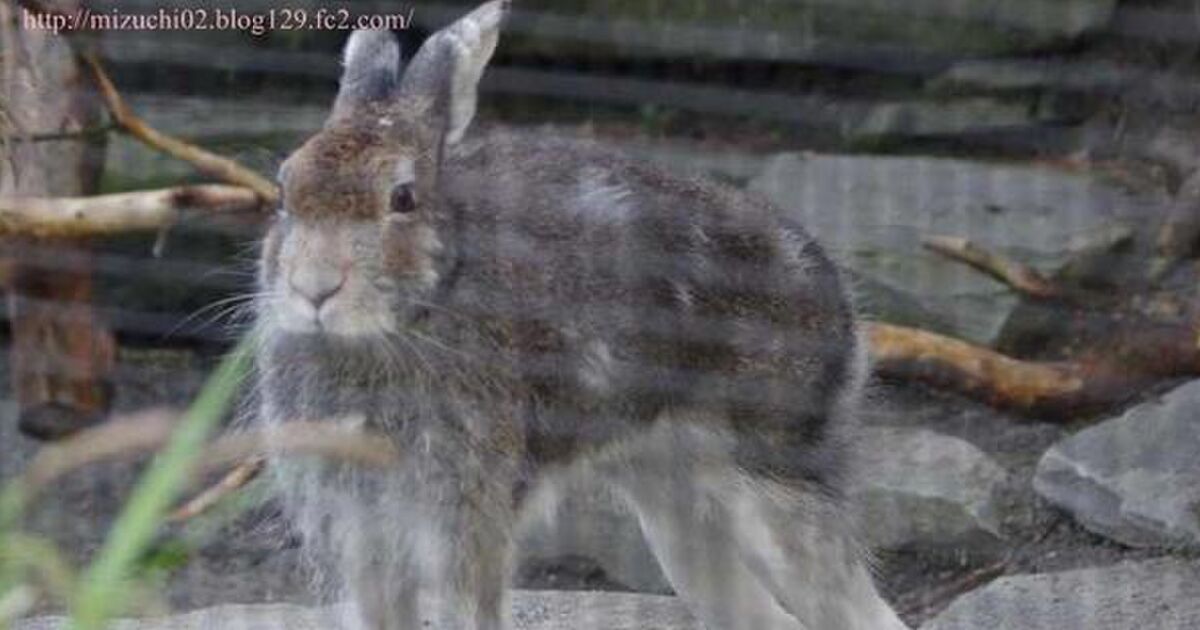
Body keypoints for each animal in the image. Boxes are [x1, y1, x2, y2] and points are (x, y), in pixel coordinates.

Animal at [255, 1, 907, 628]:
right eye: (284, 191)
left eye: (403, 198)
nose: (314, 288)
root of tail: (835, 292)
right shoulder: (359, 531)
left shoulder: (463, 520)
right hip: (670, 498)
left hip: (776, 476)